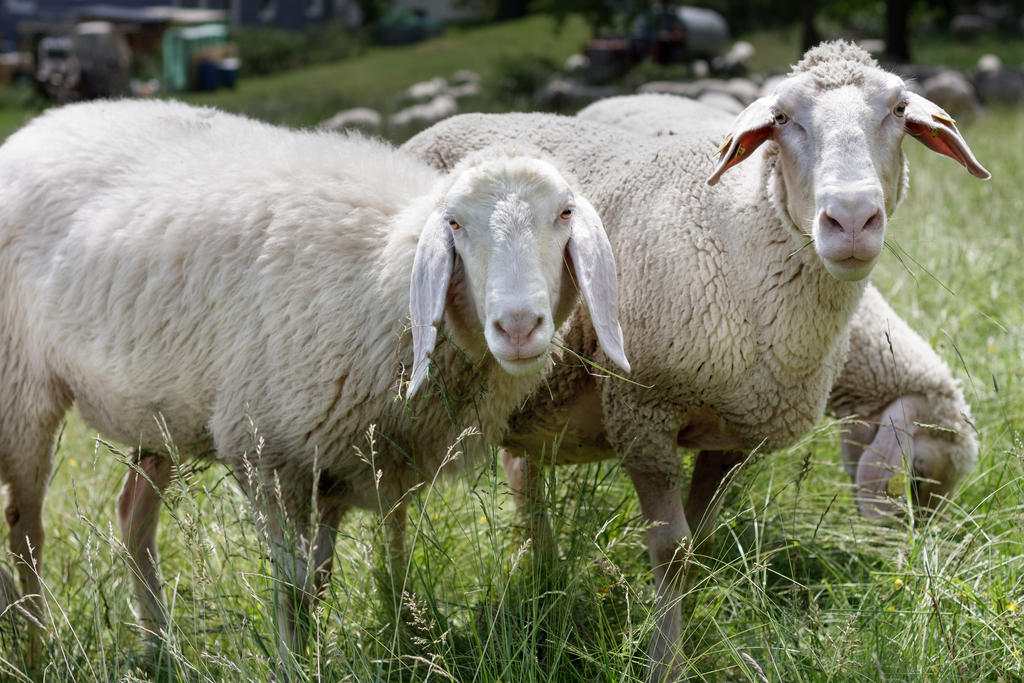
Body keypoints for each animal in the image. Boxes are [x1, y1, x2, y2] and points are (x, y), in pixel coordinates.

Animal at [0, 98, 629, 670]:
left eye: (565, 213)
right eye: (455, 223)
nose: (518, 326)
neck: (386, 271)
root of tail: (37, 128)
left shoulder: (338, 463)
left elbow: (320, 581)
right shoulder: (267, 454)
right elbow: (293, 588)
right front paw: (293, 666)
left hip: (160, 410)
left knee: (131, 512)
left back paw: (159, 650)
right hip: (20, 386)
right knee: (26, 532)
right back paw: (34, 650)